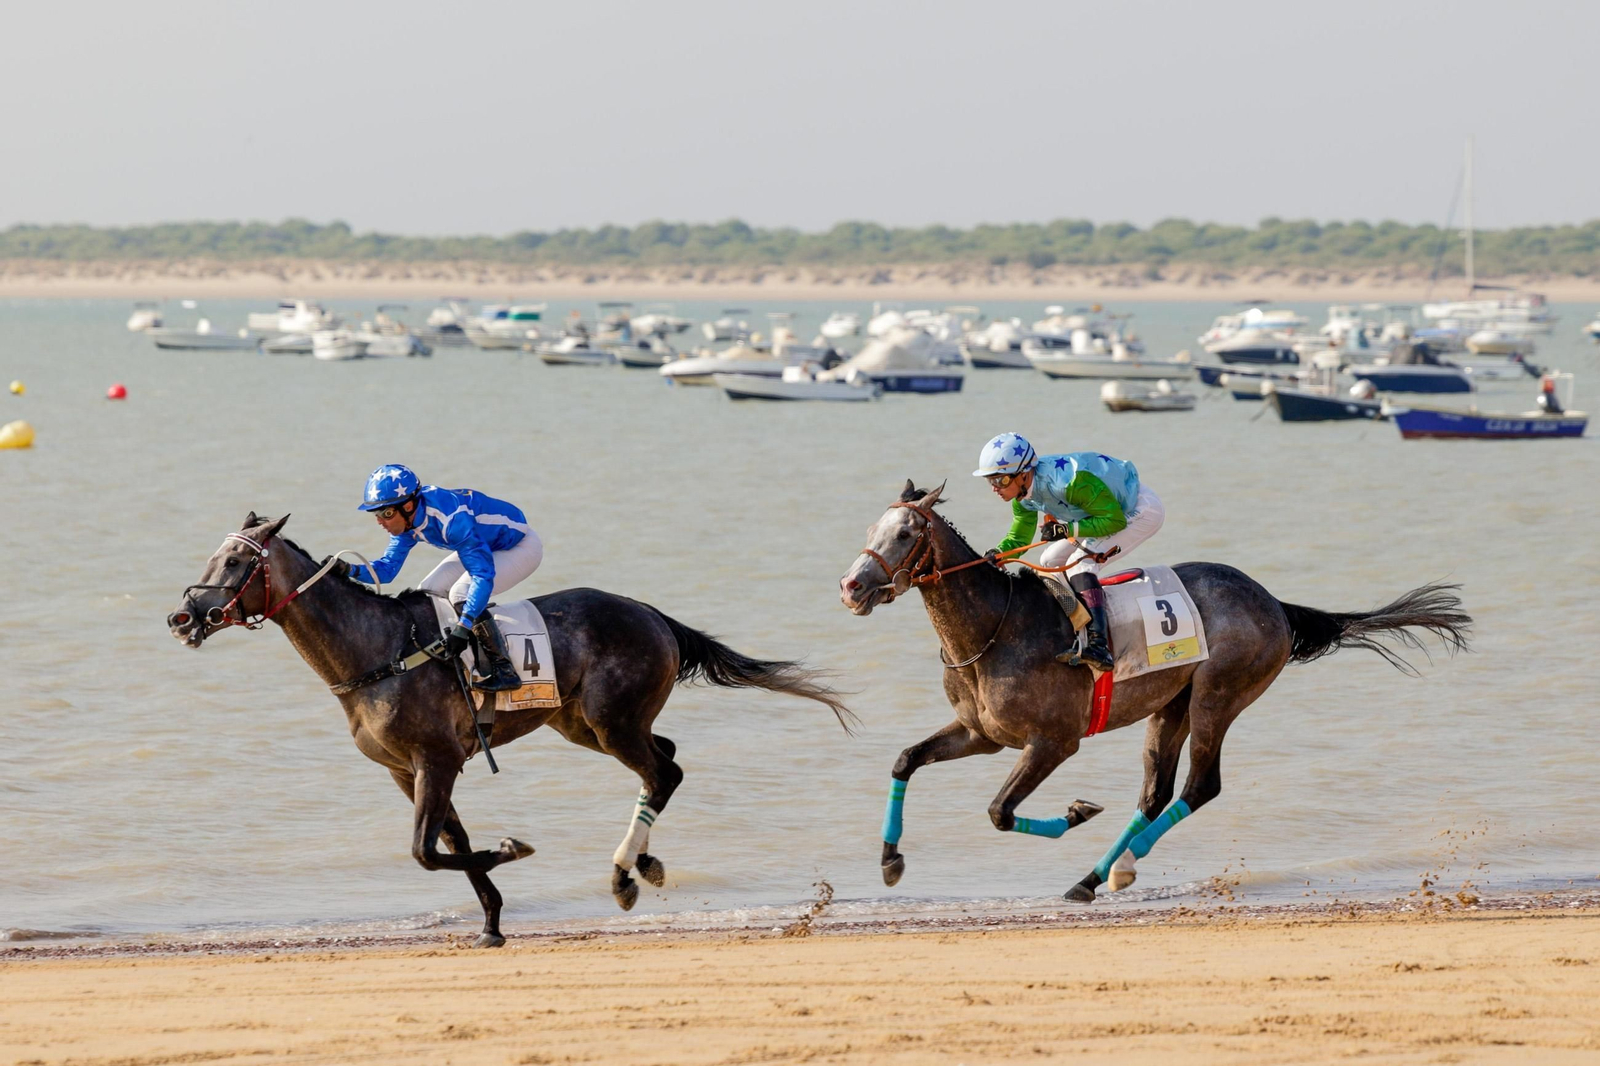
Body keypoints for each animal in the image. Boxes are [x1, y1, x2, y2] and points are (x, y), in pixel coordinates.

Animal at [168, 513, 854, 947]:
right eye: (215, 555)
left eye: (235, 560)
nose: (183, 616)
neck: (376, 652)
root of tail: (650, 612)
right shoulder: (407, 770)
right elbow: (449, 843)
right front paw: (493, 923)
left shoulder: (436, 760)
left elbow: (427, 851)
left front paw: (512, 850)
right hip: (585, 725)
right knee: (668, 761)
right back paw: (645, 863)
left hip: (611, 723)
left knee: (664, 770)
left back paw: (623, 874)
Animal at [838, 482, 1470, 902]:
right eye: (869, 531)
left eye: (904, 534)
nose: (851, 587)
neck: (996, 627)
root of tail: (1273, 602)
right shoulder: (982, 734)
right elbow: (905, 760)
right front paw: (890, 860)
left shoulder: (1052, 742)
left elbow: (999, 811)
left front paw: (1077, 810)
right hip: (1170, 707)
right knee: (1154, 793)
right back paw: (1098, 875)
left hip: (1218, 695)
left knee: (1200, 785)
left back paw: (1118, 866)